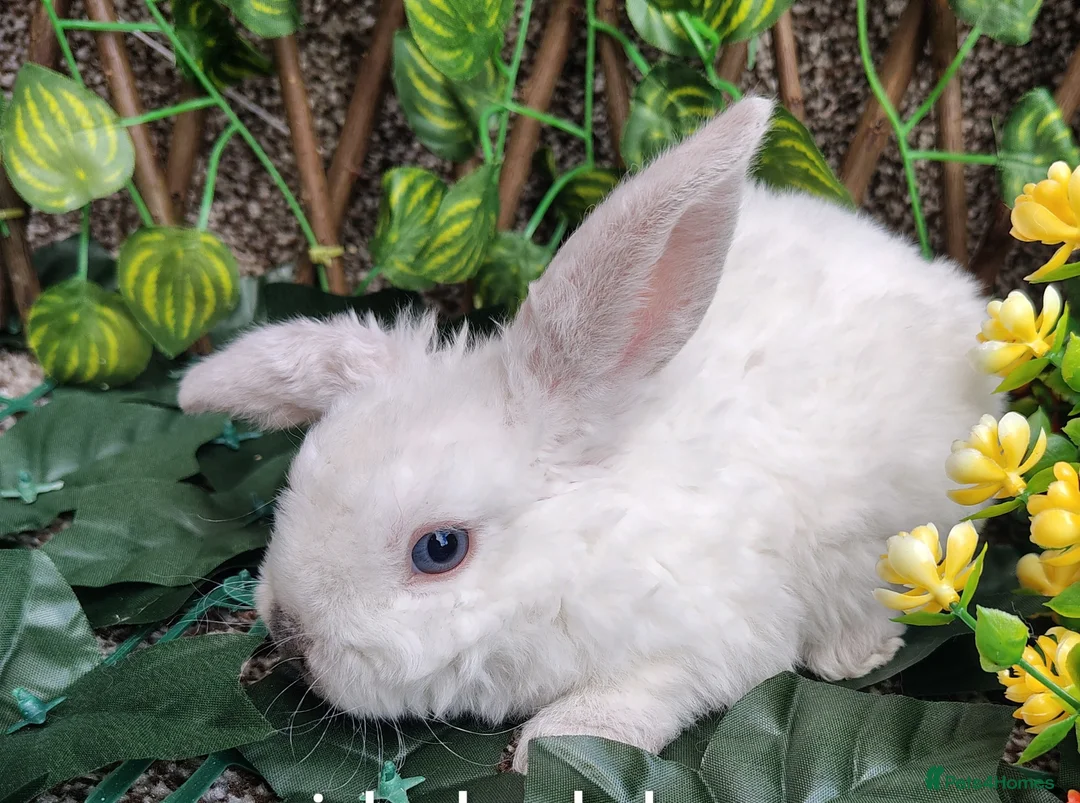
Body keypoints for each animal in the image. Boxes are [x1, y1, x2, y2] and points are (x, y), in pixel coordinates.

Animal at [178, 96, 1003, 772]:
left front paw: (544, 748)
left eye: (439, 548)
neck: (584, 535)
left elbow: (627, 700)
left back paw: (850, 651)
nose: (290, 634)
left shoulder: (703, 639)